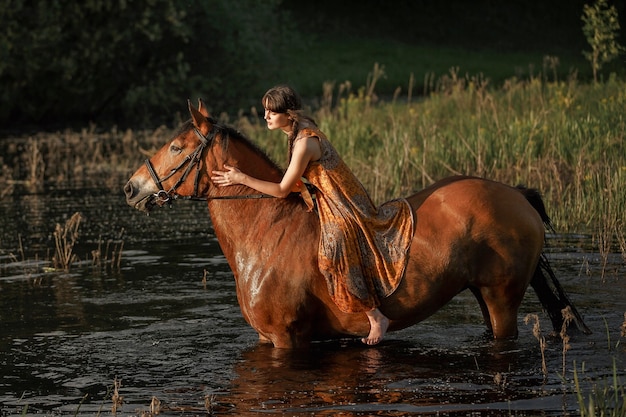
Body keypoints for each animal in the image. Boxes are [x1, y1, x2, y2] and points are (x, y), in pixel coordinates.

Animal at [124, 99, 588, 346]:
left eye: (176, 146)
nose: (131, 188)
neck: (265, 230)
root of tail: (517, 195)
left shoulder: (284, 339)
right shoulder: (266, 337)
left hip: (501, 297)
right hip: (482, 293)